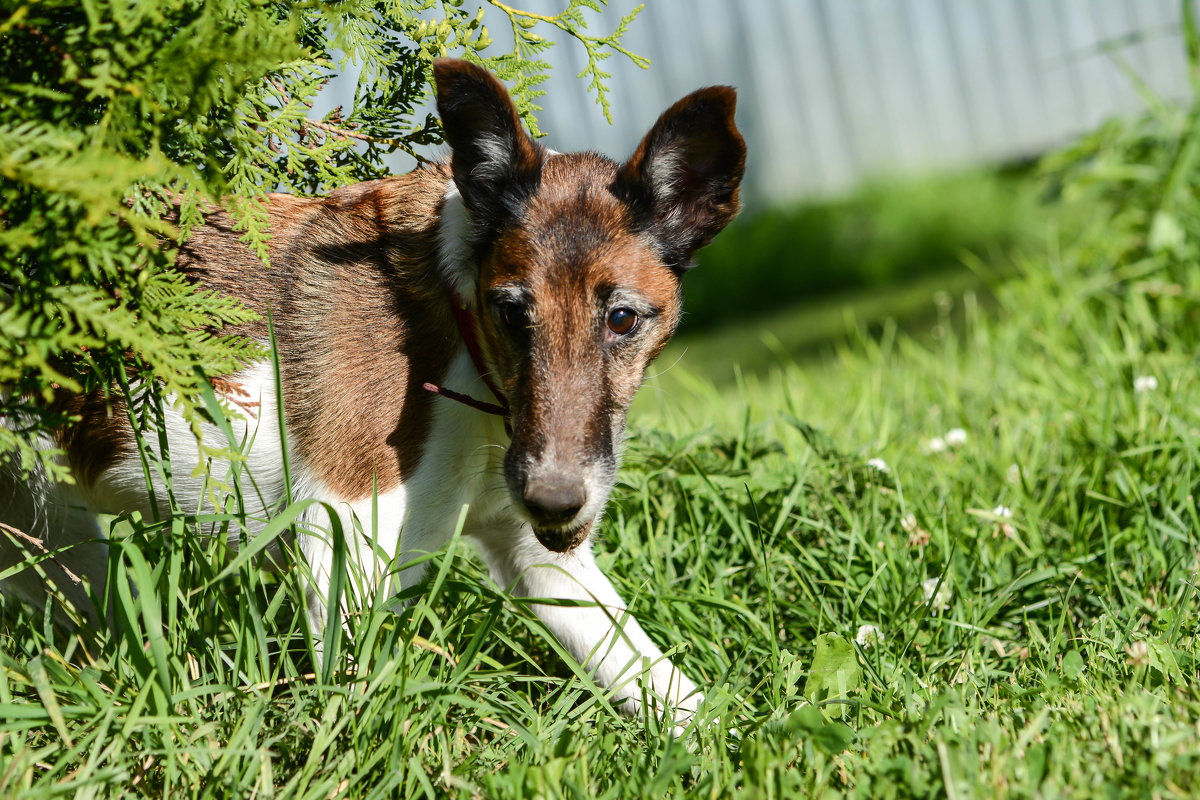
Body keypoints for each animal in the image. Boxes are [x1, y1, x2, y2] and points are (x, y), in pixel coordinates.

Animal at [0, 59, 744, 724]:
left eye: (622, 319)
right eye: (510, 313)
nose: (556, 502)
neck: (457, 328)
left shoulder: (540, 557)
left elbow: (673, 694)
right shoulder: (342, 546)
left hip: (53, 546)